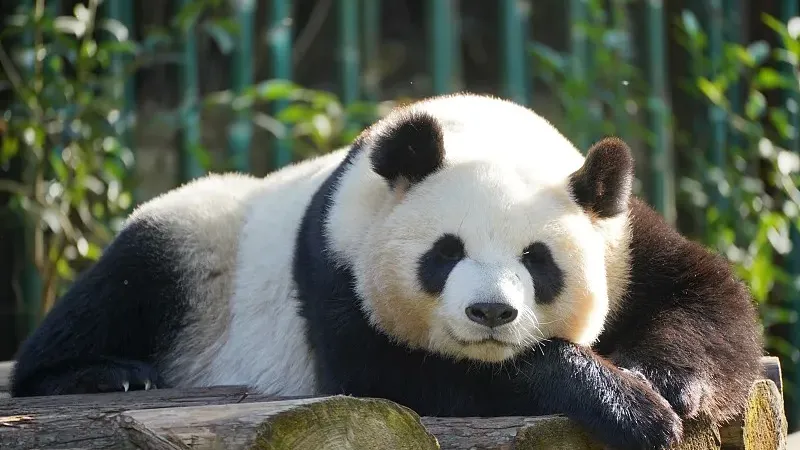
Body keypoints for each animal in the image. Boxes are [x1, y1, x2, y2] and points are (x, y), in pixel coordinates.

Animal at [10, 93, 763, 450]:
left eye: (537, 260)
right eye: (445, 252)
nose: (491, 313)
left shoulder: (620, 235)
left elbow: (706, 295)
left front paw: (663, 381)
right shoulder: (335, 264)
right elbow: (401, 375)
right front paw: (624, 404)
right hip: (202, 240)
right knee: (124, 286)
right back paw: (104, 373)